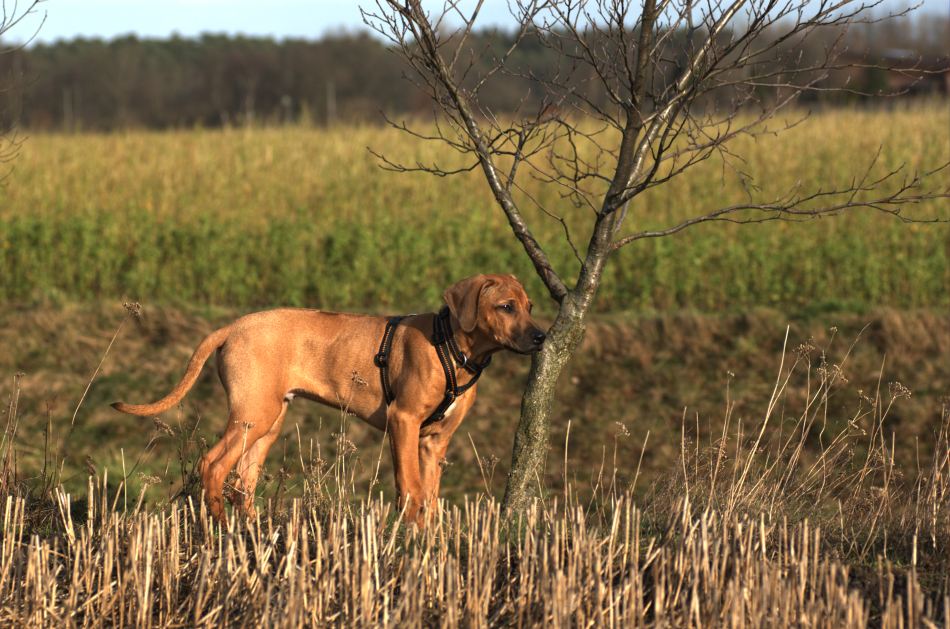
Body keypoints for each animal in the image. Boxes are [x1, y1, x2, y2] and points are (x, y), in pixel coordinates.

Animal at [112, 272, 548, 524]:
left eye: (530, 306)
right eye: (505, 307)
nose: (541, 337)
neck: (453, 347)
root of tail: (232, 327)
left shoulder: (434, 441)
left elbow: (430, 495)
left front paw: (428, 544)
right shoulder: (403, 422)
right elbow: (409, 487)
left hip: (269, 422)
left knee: (243, 479)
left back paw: (250, 534)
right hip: (253, 413)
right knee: (213, 466)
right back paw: (220, 529)